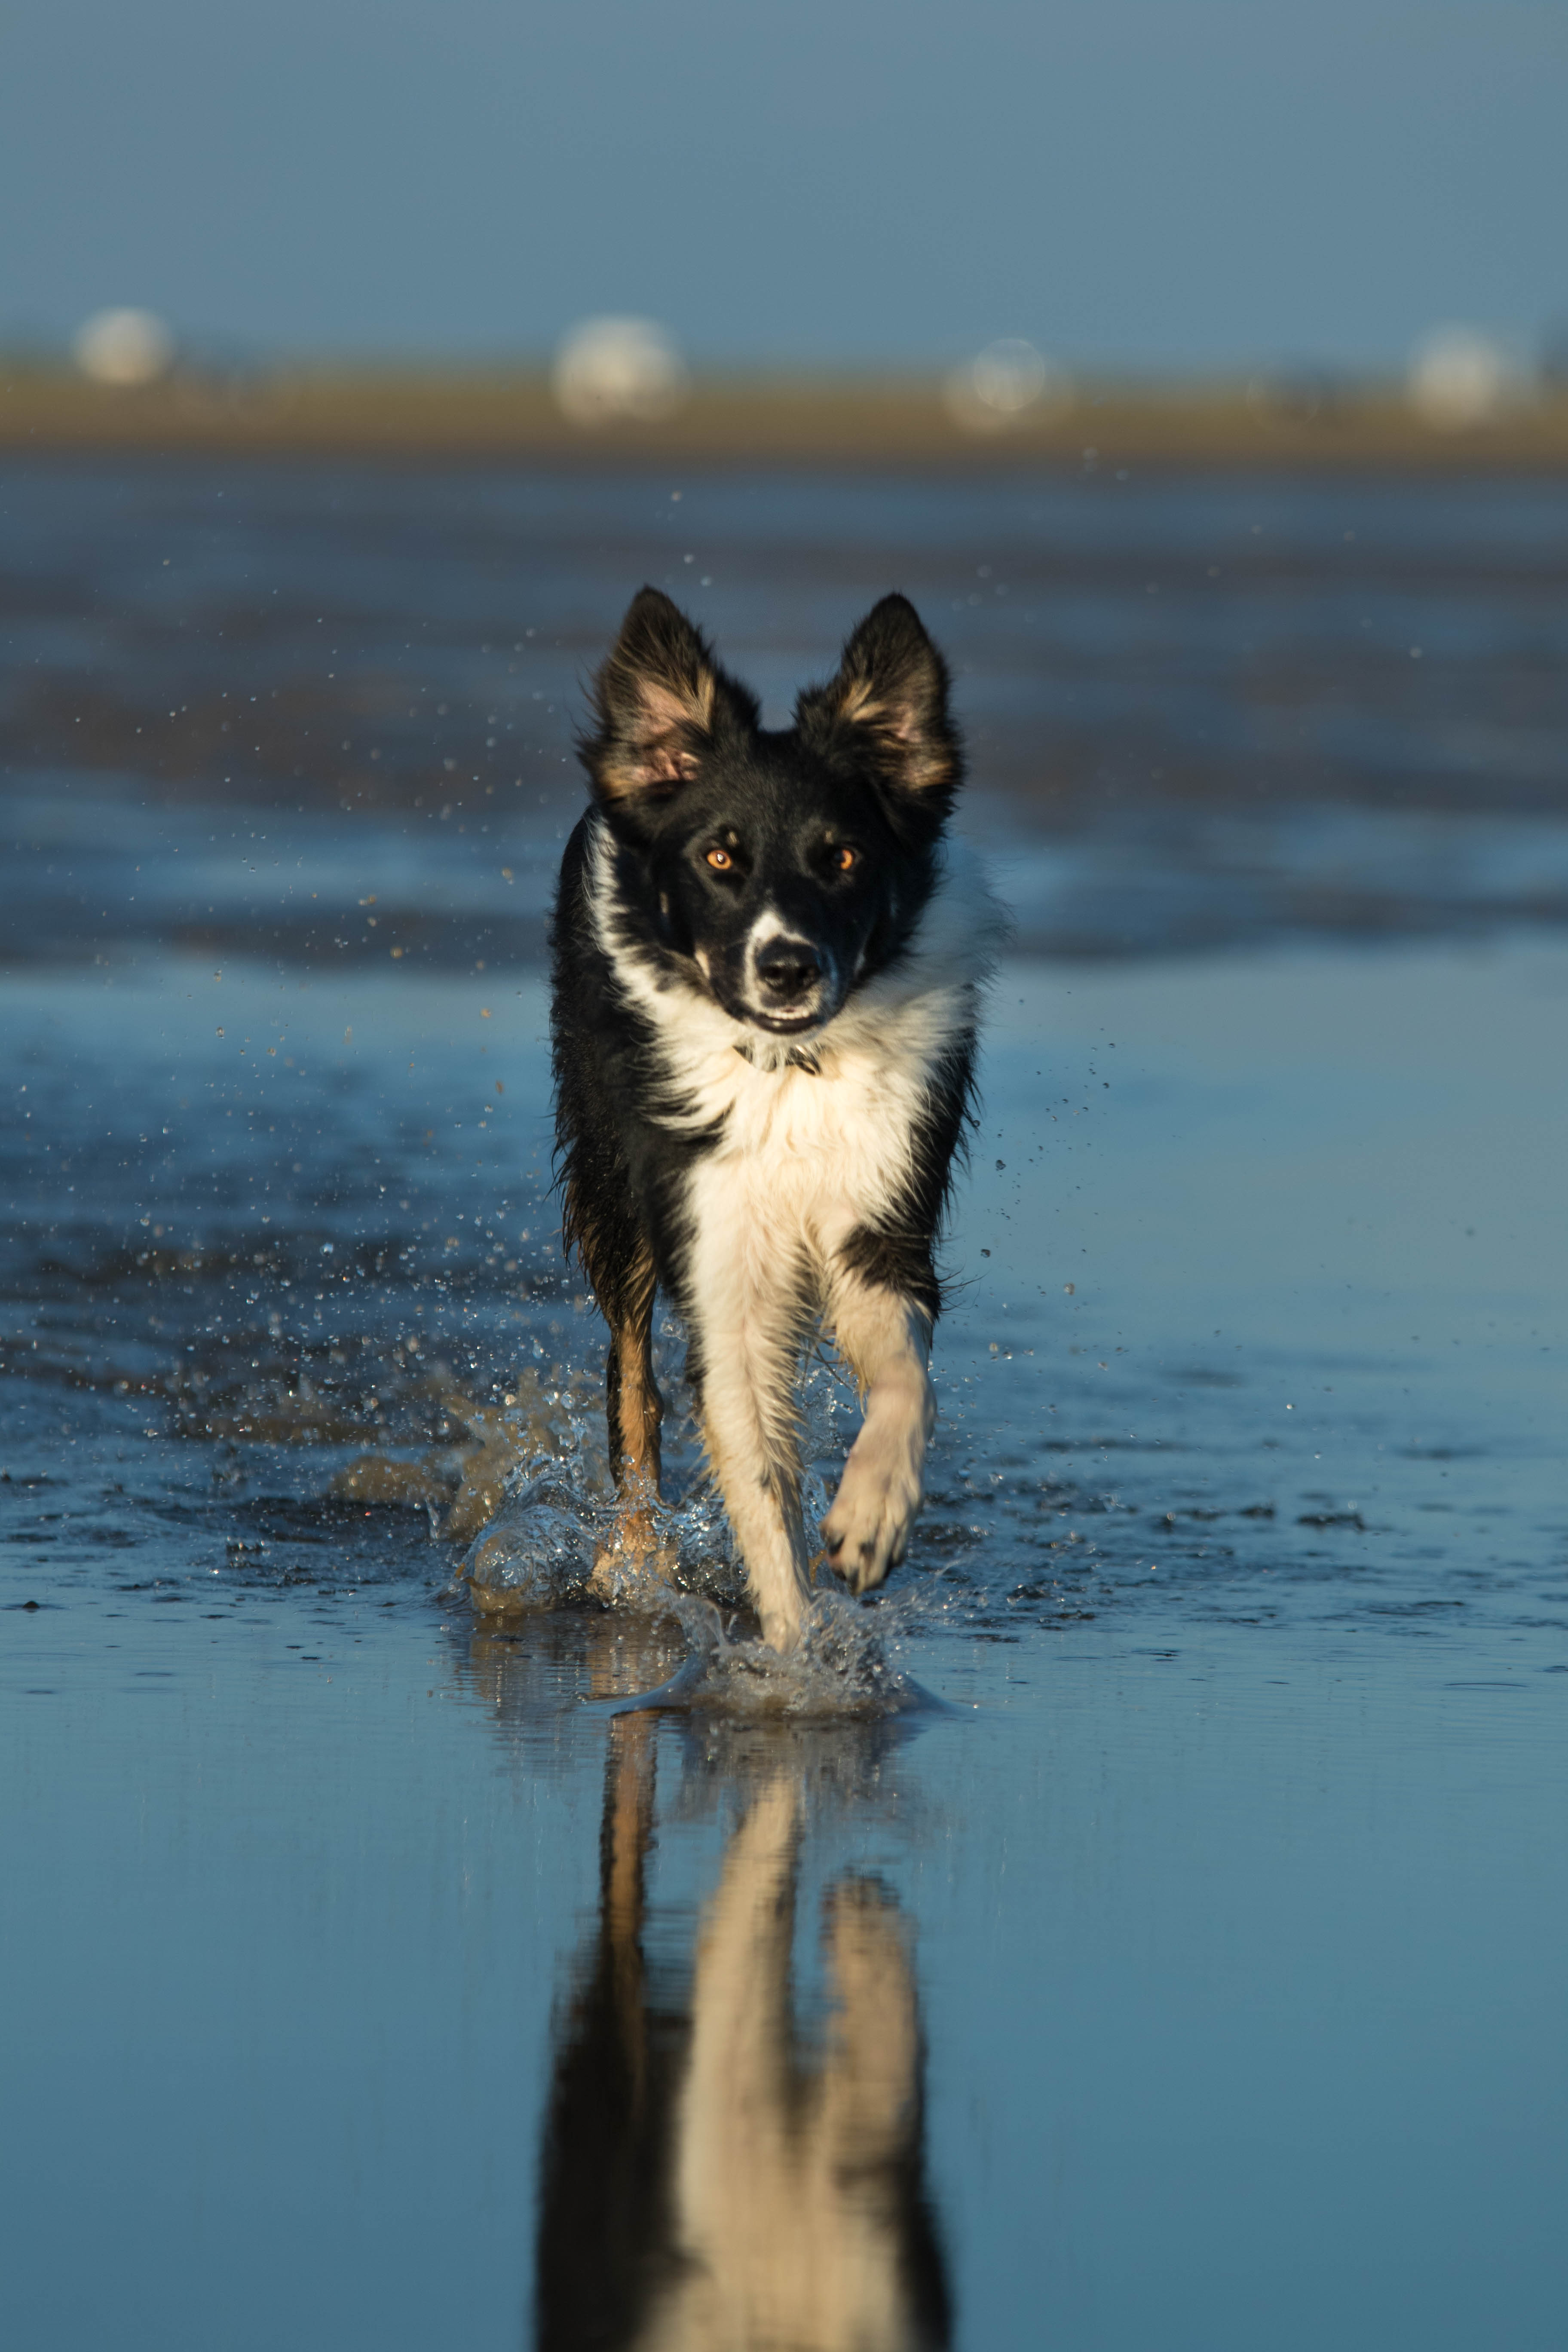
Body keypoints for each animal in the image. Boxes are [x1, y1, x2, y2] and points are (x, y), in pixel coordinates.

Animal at [545, 588, 1001, 1656]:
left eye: (842, 857)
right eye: (719, 857)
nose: (787, 966)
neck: (789, 1069)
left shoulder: (882, 1221)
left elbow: (907, 1385)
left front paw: (871, 1520)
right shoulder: (718, 1255)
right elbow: (751, 1467)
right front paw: (794, 1659)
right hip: (612, 1198)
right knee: (633, 1387)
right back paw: (630, 1566)